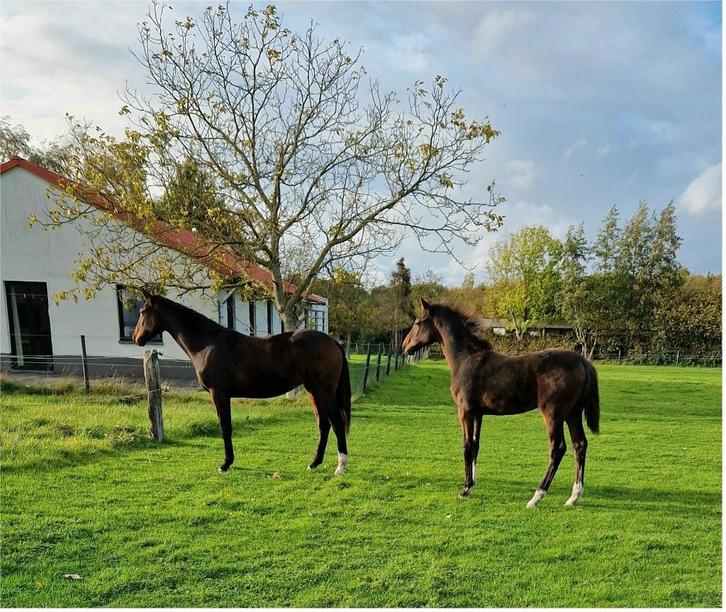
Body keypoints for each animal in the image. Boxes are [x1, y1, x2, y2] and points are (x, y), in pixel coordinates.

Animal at [132, 291, 351, 476]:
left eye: (142, 311)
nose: (135, 338)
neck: (207, 344)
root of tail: (333, 341)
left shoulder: (219, 394)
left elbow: (225, 428)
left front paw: (225, 464)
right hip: (313, 391)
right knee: (323, 425)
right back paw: (314, 463)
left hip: (324, 392)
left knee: (337, 423)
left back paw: (340, 467)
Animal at [401, 298, 599, 507]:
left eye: (417, 322)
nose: (405, 346)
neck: (466, 359)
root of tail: (582, 361)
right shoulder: (478, 413)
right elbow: (476, 445)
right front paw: (472, 484)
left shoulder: (465, 411)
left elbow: (467, 446)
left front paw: (465, 489)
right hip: (572, 414)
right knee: (579, 444)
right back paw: (574, 497)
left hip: (553, 415)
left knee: (558, 448)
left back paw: (536, 497)